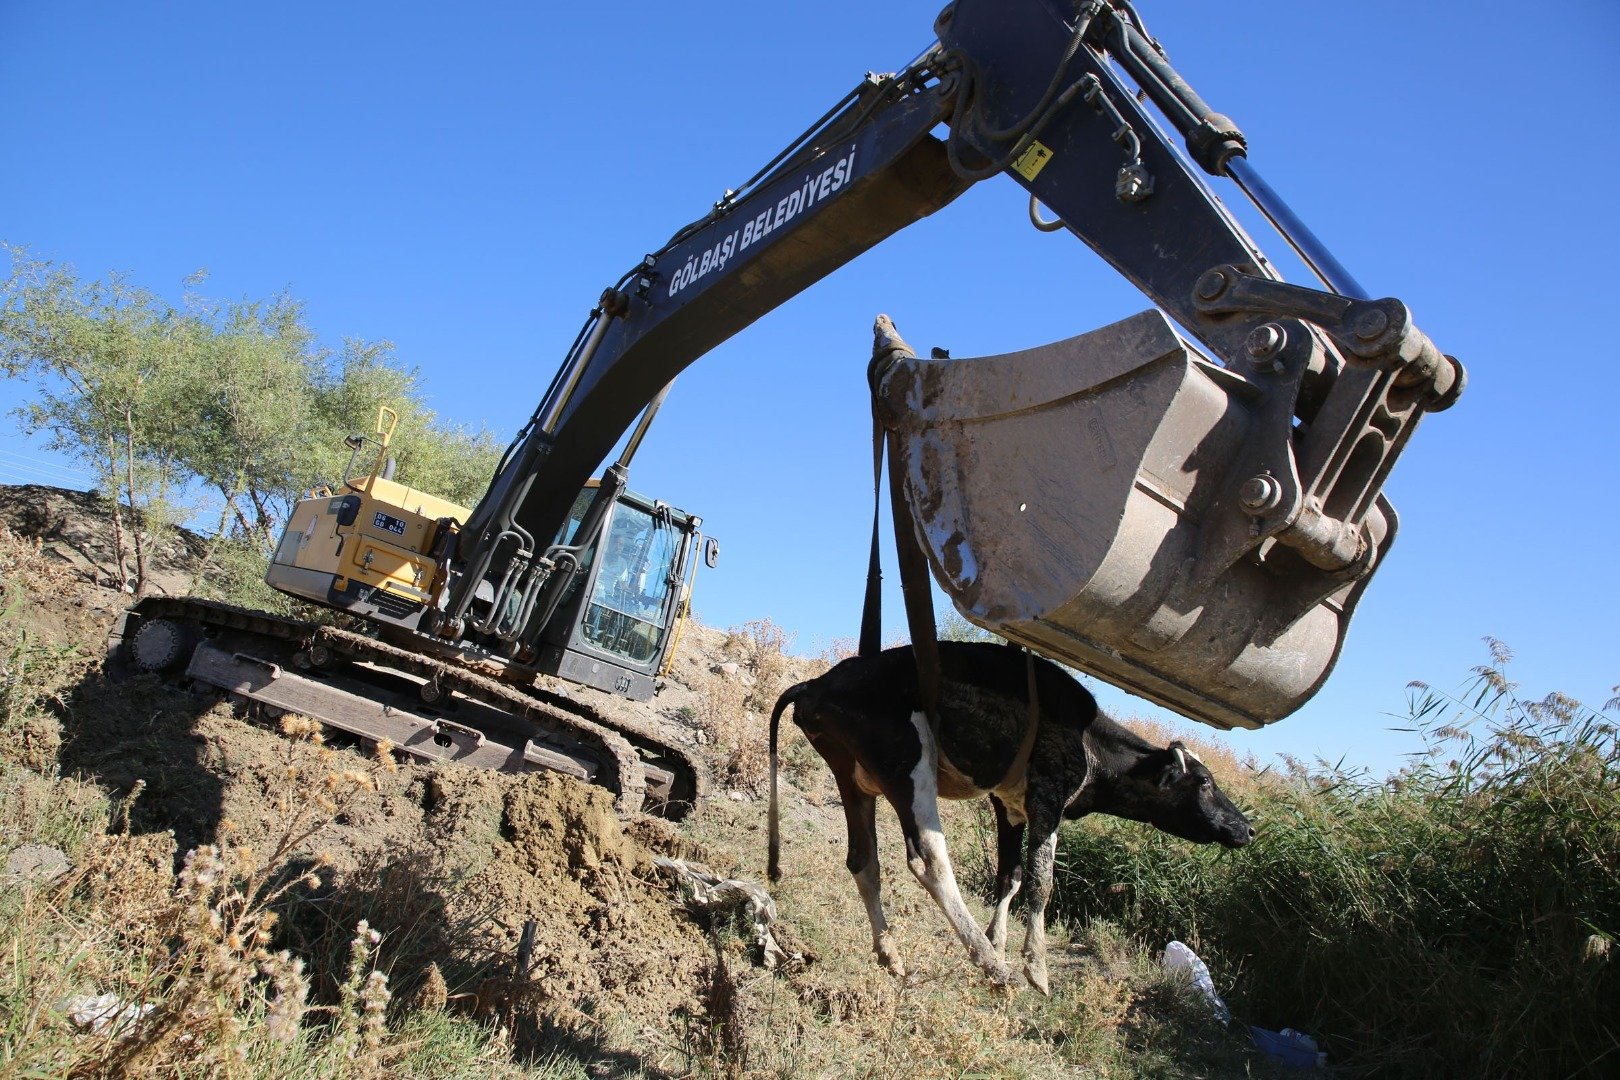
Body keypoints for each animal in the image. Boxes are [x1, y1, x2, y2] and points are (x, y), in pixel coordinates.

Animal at [761, 641, 1250, 997]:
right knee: (928, 860)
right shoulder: (1048, 794)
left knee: (864, 861)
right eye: (1205, 782)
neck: (1092, 745)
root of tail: (816, 684)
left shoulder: (1009, 805)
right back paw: (991, 964)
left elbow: (1010, 875)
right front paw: (1035, 967)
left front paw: (999, 937)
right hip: (907, 762)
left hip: (853, 776)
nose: (1246, 827)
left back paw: (893, 956)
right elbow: (1041, 881)